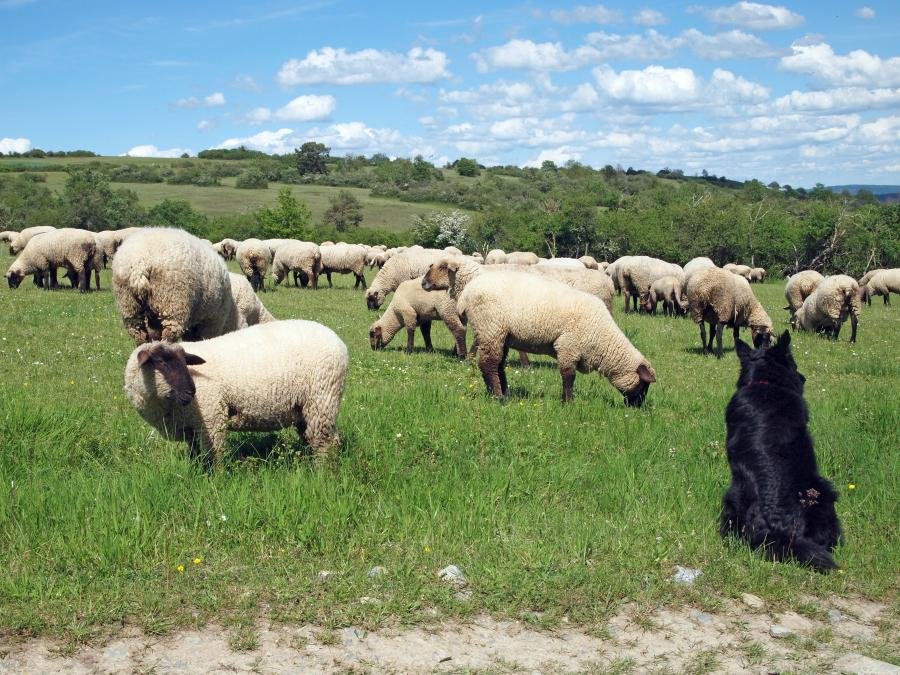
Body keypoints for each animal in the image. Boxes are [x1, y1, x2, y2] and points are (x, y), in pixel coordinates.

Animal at [119, 320, 344, 464]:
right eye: (160, 362)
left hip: (322, 399)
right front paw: (195, 473)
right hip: (305, 408)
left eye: (184, 362)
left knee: (326, 443)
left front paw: (216, 481)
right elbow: (194, 455)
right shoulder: (190, 427)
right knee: (315, 439)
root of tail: (338, 342)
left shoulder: (211, 418)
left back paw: (321, 474)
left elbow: (215, 456)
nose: (191, 392)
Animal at [458, 270, 652, 404]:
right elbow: (568, 376)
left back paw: (503, 393)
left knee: (498, 364)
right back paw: (499, 398)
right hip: (490, 328)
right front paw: (568, 402)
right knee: (488, 364)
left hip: (500, 334)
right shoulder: (568, 347)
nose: (638, 407)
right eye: (644, 385)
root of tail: (465, 294)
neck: (602, 339)